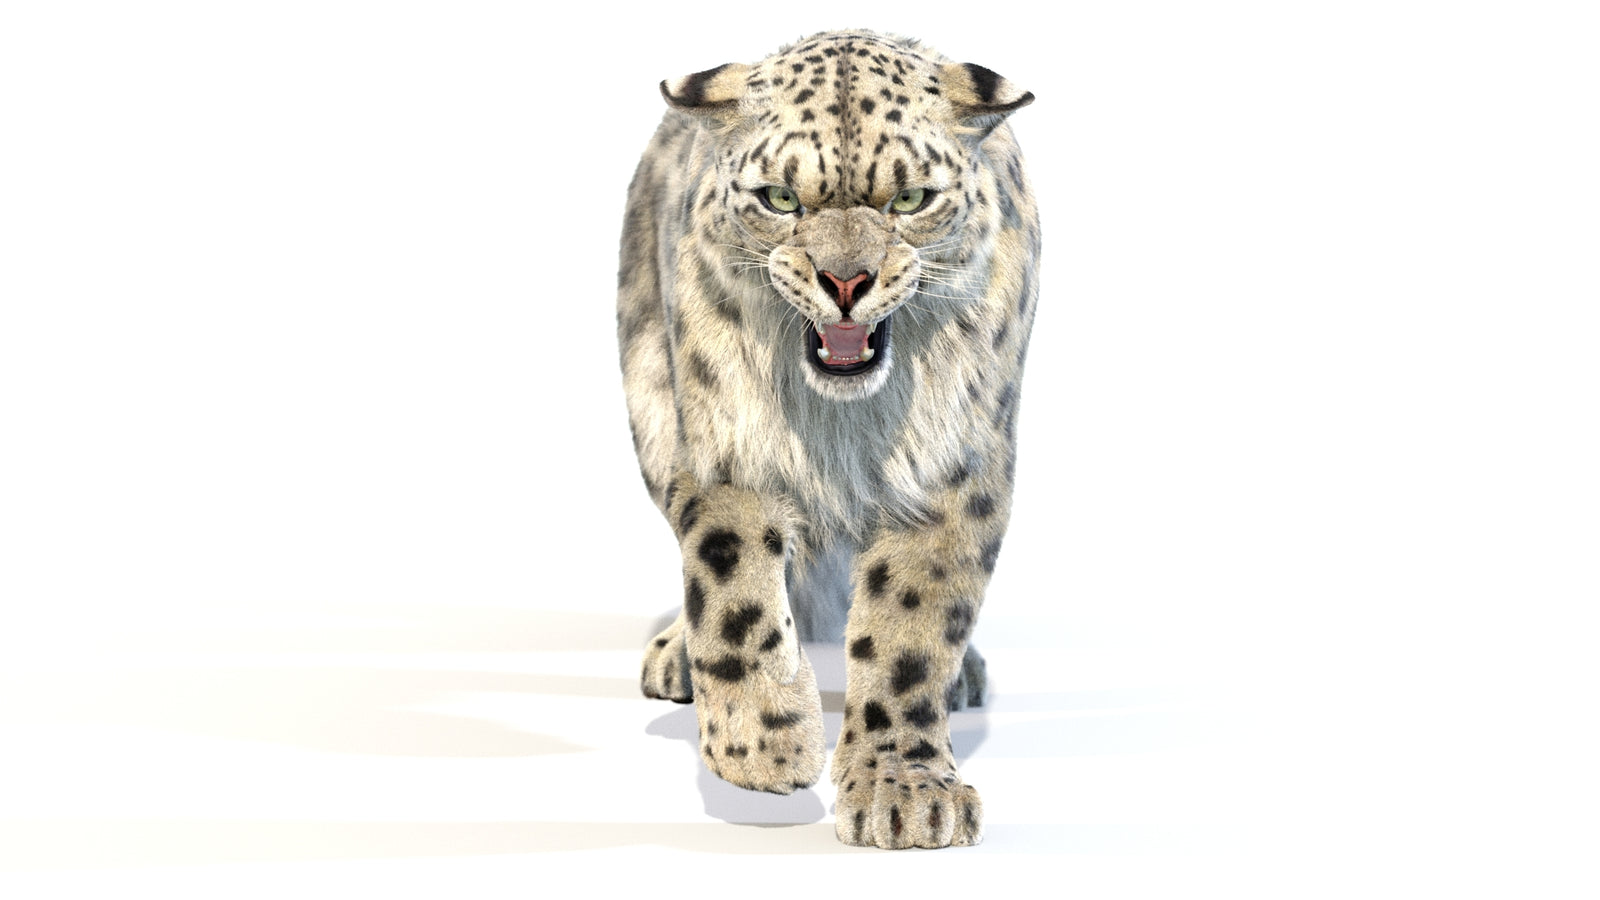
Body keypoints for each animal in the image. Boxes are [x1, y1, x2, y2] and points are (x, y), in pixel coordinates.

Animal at [616, 29, 1039, 850]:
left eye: (910, 199)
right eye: (780, 198)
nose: (846, 281)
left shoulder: (951, 467)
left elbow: (910, 626)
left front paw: (905, 793)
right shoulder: (728, 445)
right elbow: (734, 595)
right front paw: (765, 746)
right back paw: (678, 659)